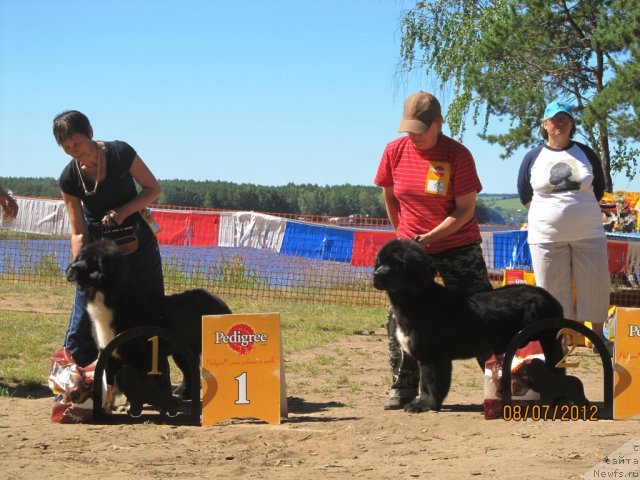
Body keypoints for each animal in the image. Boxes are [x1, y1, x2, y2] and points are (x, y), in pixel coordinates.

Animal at [66, 238, 231, 406]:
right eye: (81, 257)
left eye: (93, 262)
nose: (72, 267)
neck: (110, 298)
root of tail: (220, 302)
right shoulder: (108, 352)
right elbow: (111, 383)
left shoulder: (138, 355)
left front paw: (128, 405)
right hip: (182, 351)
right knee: (190, 371)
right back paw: (183, 395)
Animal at [372, 240, 564, 412]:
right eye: (380, 262)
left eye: (395, 264)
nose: (376, 274)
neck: (416, 300)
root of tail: (548, 297)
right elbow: (425, 383)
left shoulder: (433, 356)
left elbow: (430, 383)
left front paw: (424, 405)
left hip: (547, 340)